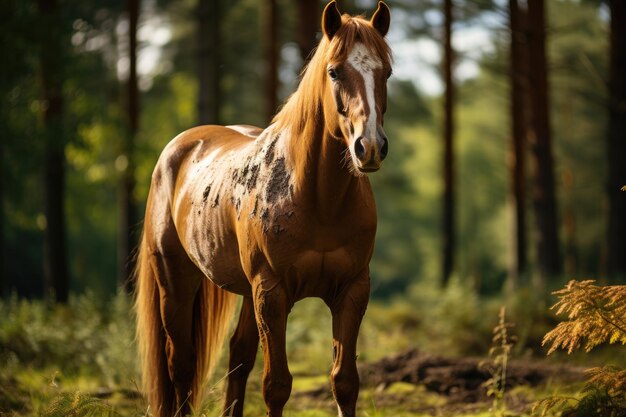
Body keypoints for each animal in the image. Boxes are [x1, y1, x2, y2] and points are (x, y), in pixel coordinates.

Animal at [135, 1, 392, 414]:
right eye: (334, 71)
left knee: (238, 358)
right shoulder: (272, 294)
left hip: (243, 291)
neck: (319, 200)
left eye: (386, 72)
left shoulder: (352, 292)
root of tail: (180, 146)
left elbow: (344, 382)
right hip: (176, 282)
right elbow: (276, 385)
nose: (369, 148)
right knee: (181, 366)